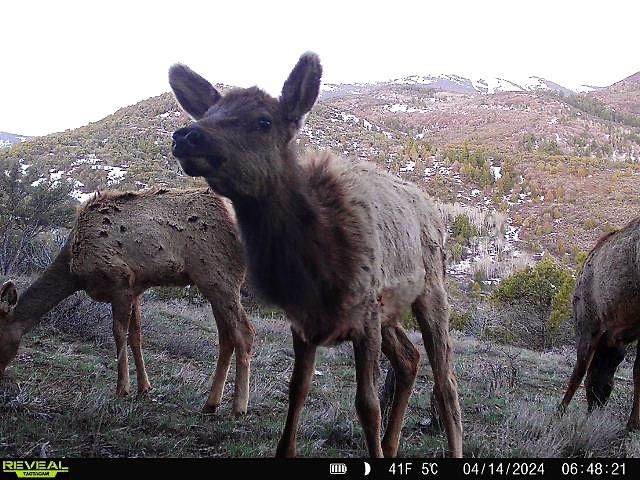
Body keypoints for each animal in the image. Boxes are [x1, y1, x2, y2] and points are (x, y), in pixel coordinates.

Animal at [0, 188, 255, 416]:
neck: (74, 271)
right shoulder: (136, 288)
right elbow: (136, 336)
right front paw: (144, 388)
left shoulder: (119, 281)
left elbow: (119, 333)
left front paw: (123, 388)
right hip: (214, 283)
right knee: (226, 338)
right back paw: (211, 404)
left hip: (217, 275)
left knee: (244, 332)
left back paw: (238, 408)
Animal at [168, 50, 462, 456]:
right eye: (208, 112)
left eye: (264, 121)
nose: (186, 135)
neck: (316, 269)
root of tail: (434, 208)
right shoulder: (304, 320)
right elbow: (297, 390)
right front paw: (285, 449)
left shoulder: (365, 315)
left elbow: (367, 405)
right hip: (389, 310)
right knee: (409, 359)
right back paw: (392, 447)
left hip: (430, 290)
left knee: (446, 382)